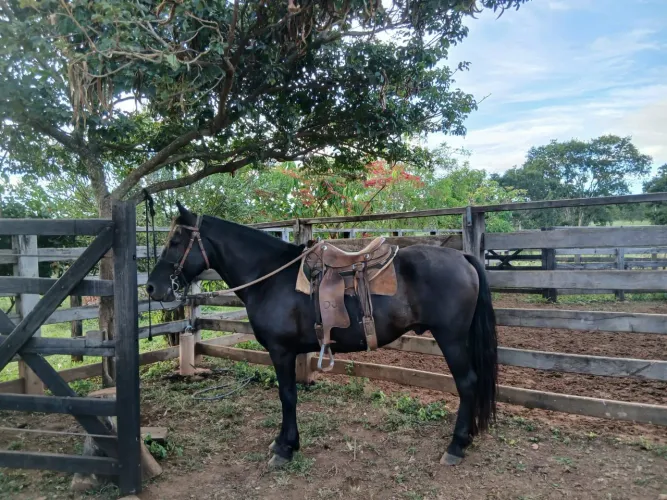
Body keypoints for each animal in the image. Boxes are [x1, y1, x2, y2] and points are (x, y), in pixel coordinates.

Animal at [145, 202, 498, 468]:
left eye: (175, 241)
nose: (151, 287)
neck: (269, 276)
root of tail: (462, 257)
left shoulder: (281, 351)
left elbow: (287, 395)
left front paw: (285, 448)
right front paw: (286, 442)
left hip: (451, 339)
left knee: (467, 383)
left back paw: (456, 446)